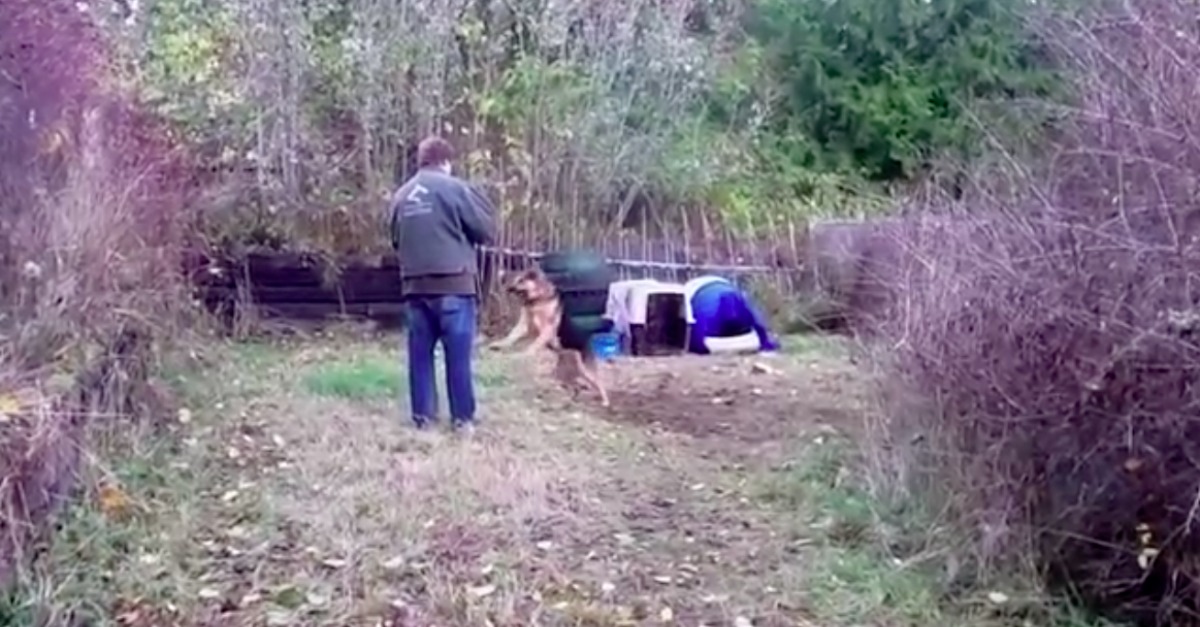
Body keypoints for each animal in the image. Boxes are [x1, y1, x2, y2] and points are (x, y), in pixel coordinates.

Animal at [487, 266, 609, 405]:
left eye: (521, 280)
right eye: (512, 278)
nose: (507, 287)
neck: (536, 299)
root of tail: (588, 340)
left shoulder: (547, 329)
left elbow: (535, 344)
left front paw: (525, 353)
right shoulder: (524, 326)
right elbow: (511, 335)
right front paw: (499, 344)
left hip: (586, 371)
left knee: (598, 384)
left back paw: (604, 401)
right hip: (563, 373)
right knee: (576, 386)